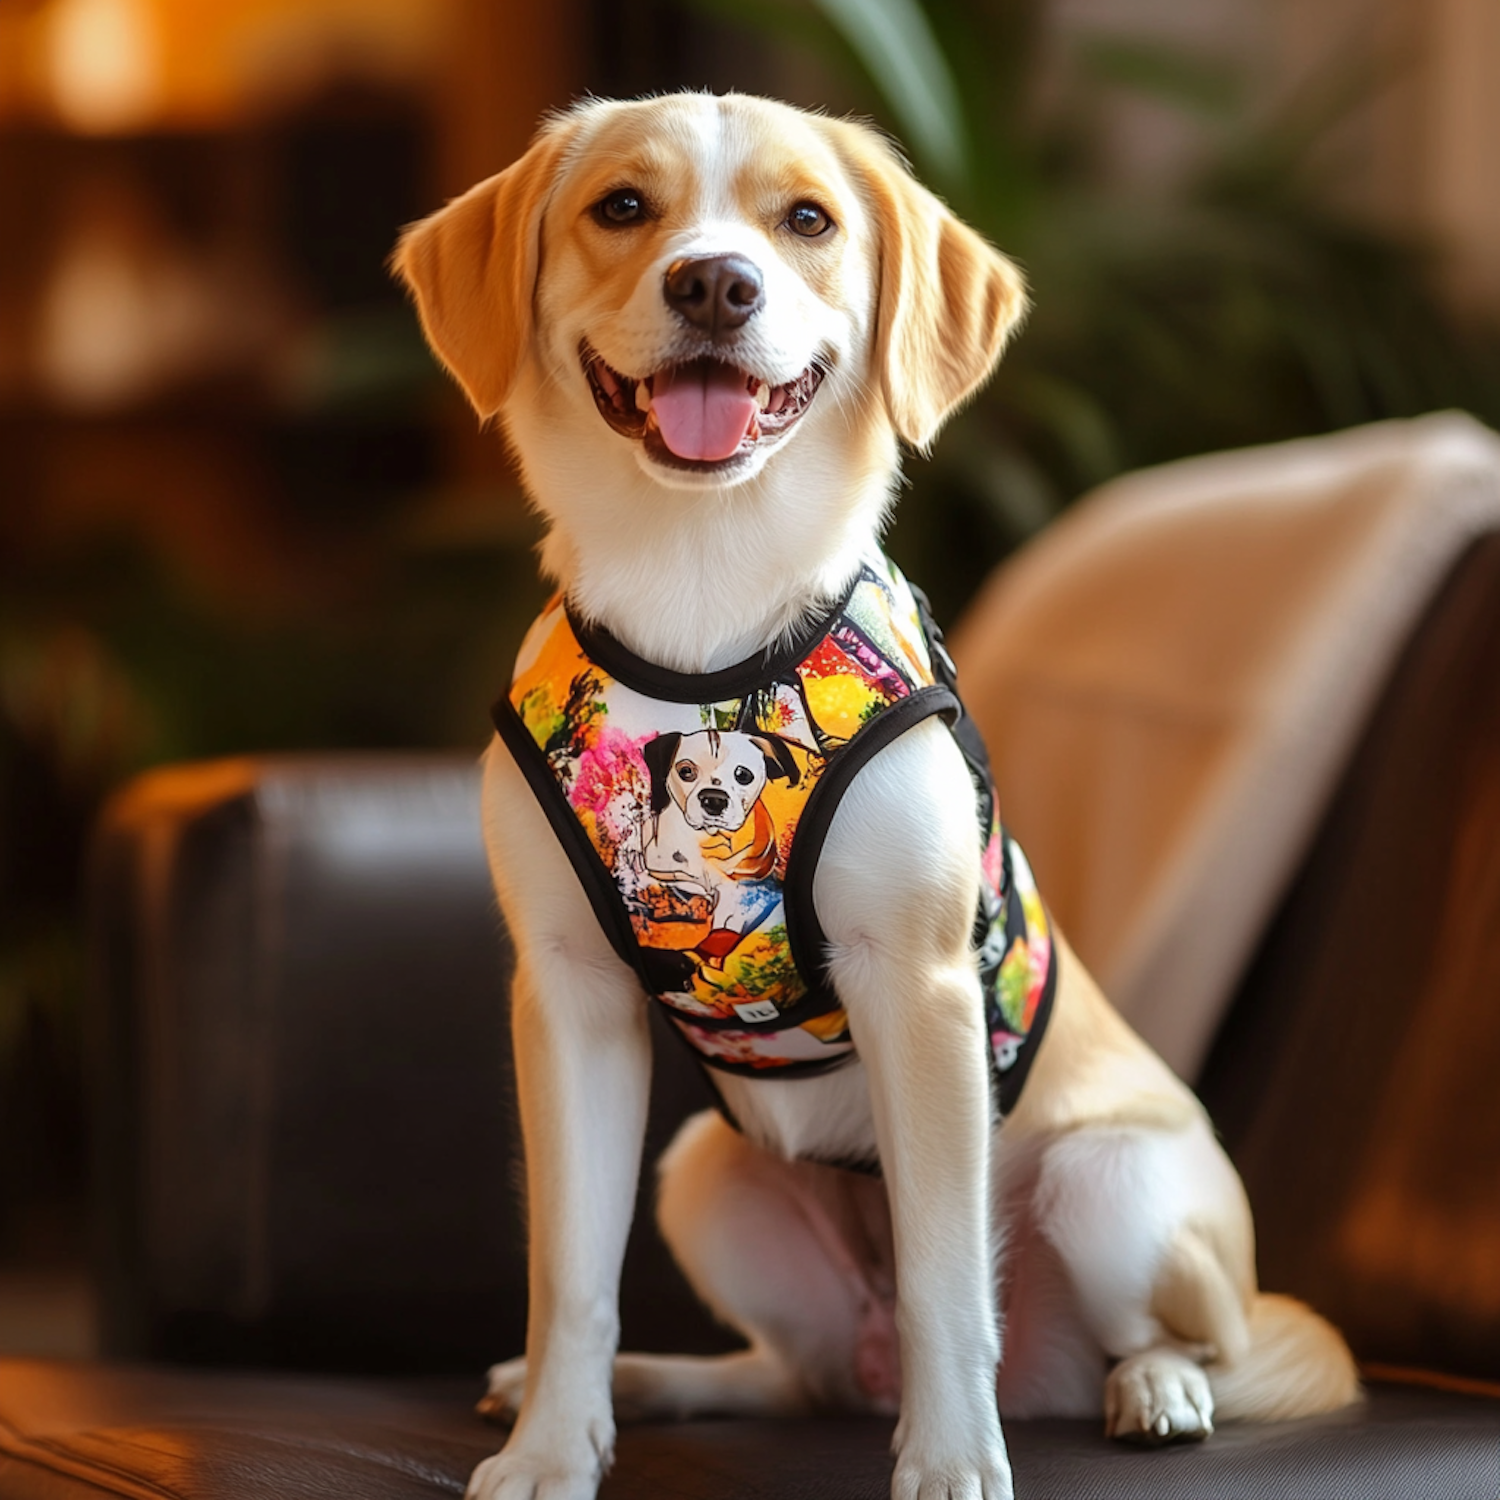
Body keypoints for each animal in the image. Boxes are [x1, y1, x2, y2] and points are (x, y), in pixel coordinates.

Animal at [390, 93, 1362, 1500]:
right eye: (623, 206)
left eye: (807, 220)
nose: (716, 282)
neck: (703, 591)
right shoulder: (568, 1000)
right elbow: (570, 1273)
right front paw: (553, 1448)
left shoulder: (919, 989)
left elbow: (944, 1282)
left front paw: (952, 1462)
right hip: (706, 1179)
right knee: (796, 1377)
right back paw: (663, 1383)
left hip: (1113, 1184)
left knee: (1191, 1345)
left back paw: (1154, 1387)